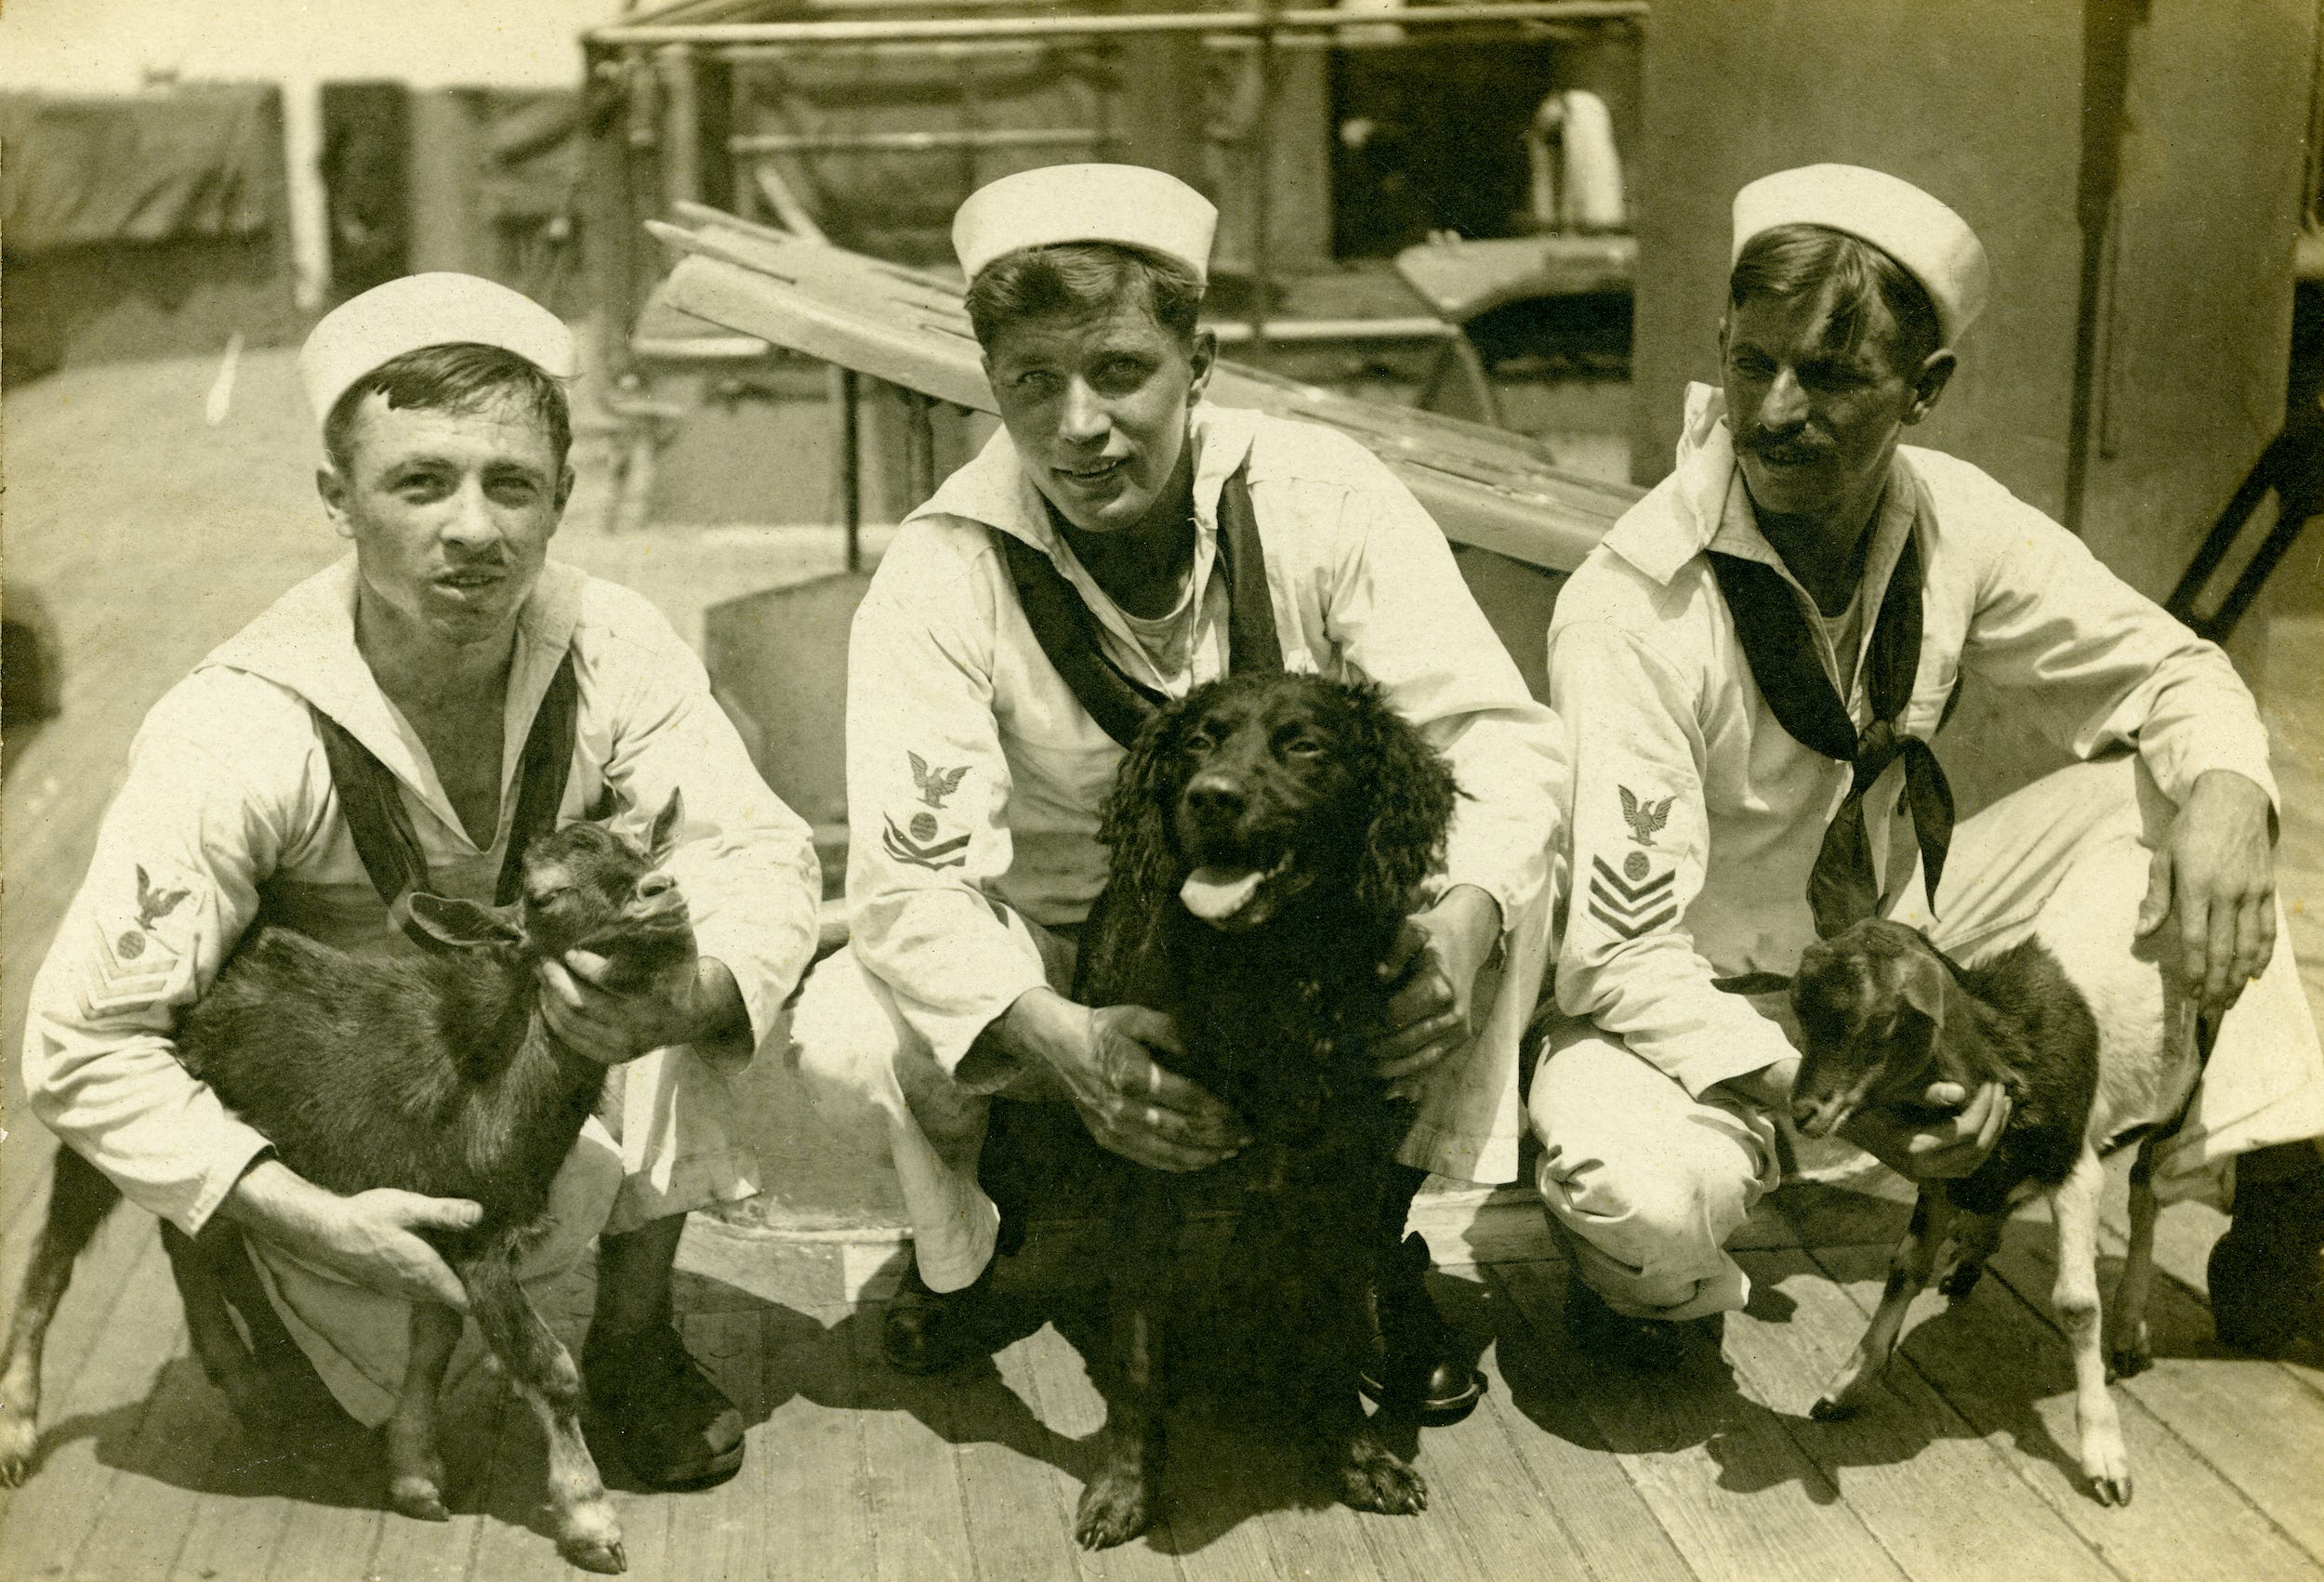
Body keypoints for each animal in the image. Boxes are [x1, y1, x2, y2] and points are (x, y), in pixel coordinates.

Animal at [0, 789, 688, 1570]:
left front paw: (415, 1474)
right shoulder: (476, 1233)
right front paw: (590, 1520)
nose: (662, 892)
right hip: (107, 1106)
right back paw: (20, 1432)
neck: (497, 1088)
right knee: (57, 1250)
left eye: (643, 851)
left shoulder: (440, 1226)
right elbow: (546, 1368)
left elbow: (432, 1337)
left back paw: (247, 1384)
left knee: (192, 1235)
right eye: (545, 896)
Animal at [1064, 664, 1450, 1542]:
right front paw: (1124, 1486)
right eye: (1198, 741)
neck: (1268, 972)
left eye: (1304, 745)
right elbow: (1138, 1359)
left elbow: (1338, 1333)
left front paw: (1359, 1456)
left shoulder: (1343, 1189)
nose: (1212, 797)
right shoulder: (1145, 1184)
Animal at [1785, 840, 2203, 1505]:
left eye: (1881, 1022)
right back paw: (1975, 1251)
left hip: (2184, 1084)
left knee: (2147, 1192)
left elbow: (2077, 1305)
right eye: (1800, 1009)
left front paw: (2104, 1456)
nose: (1805, 1111)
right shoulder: (1939, 1166)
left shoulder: (2074, 1167)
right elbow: (1905, 1266)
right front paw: (1848, 1384)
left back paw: (2128, 1327)